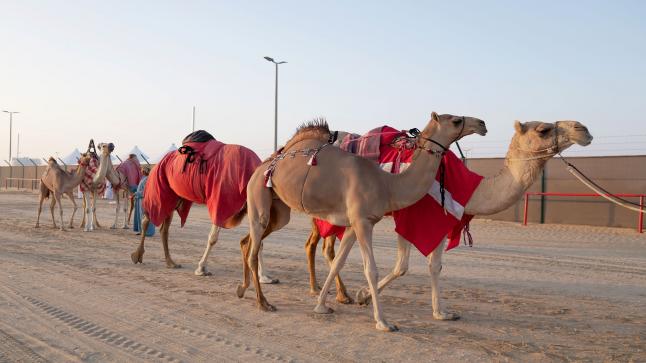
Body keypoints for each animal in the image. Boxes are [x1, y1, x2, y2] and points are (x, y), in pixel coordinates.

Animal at [237, 114, 486, 332]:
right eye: (456, 120)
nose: (482, 124)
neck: (387, 184)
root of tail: (262, 166)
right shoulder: (362, 222)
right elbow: (370, 270)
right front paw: (383, 322)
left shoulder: (353, 225)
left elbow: (338, 262)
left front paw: (322, 305)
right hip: (258, 195)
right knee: (254, 247)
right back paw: (263, 302)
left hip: (279, 210)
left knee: (249, 242)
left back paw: (242, 289)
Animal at [340, 120, 592, 322]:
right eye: (543, 130)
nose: (584, 129)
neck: (471, 188)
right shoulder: (411, 216)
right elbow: (401, 266)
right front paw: (363, 295)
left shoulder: (442, 218)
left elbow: (435, 265)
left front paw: (441, 313)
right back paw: (341, 296)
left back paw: (341, 295)